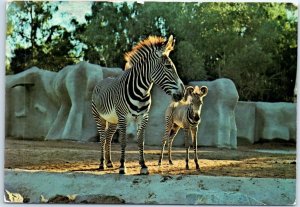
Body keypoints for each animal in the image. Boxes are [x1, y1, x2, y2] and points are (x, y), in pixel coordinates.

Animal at [91, 35, 185, 175]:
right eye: (168, 66)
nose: (182, 93)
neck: (141, 92)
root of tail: (102, 81)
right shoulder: (123, 117)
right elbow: (123, 141)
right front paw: (122, 166)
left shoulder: (144, 116)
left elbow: (141, 141)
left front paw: (144, 166)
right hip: (99, 117)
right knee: (102, 138)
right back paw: (102, 163)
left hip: (113, 120)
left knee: (108, 137)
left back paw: (109, 162)